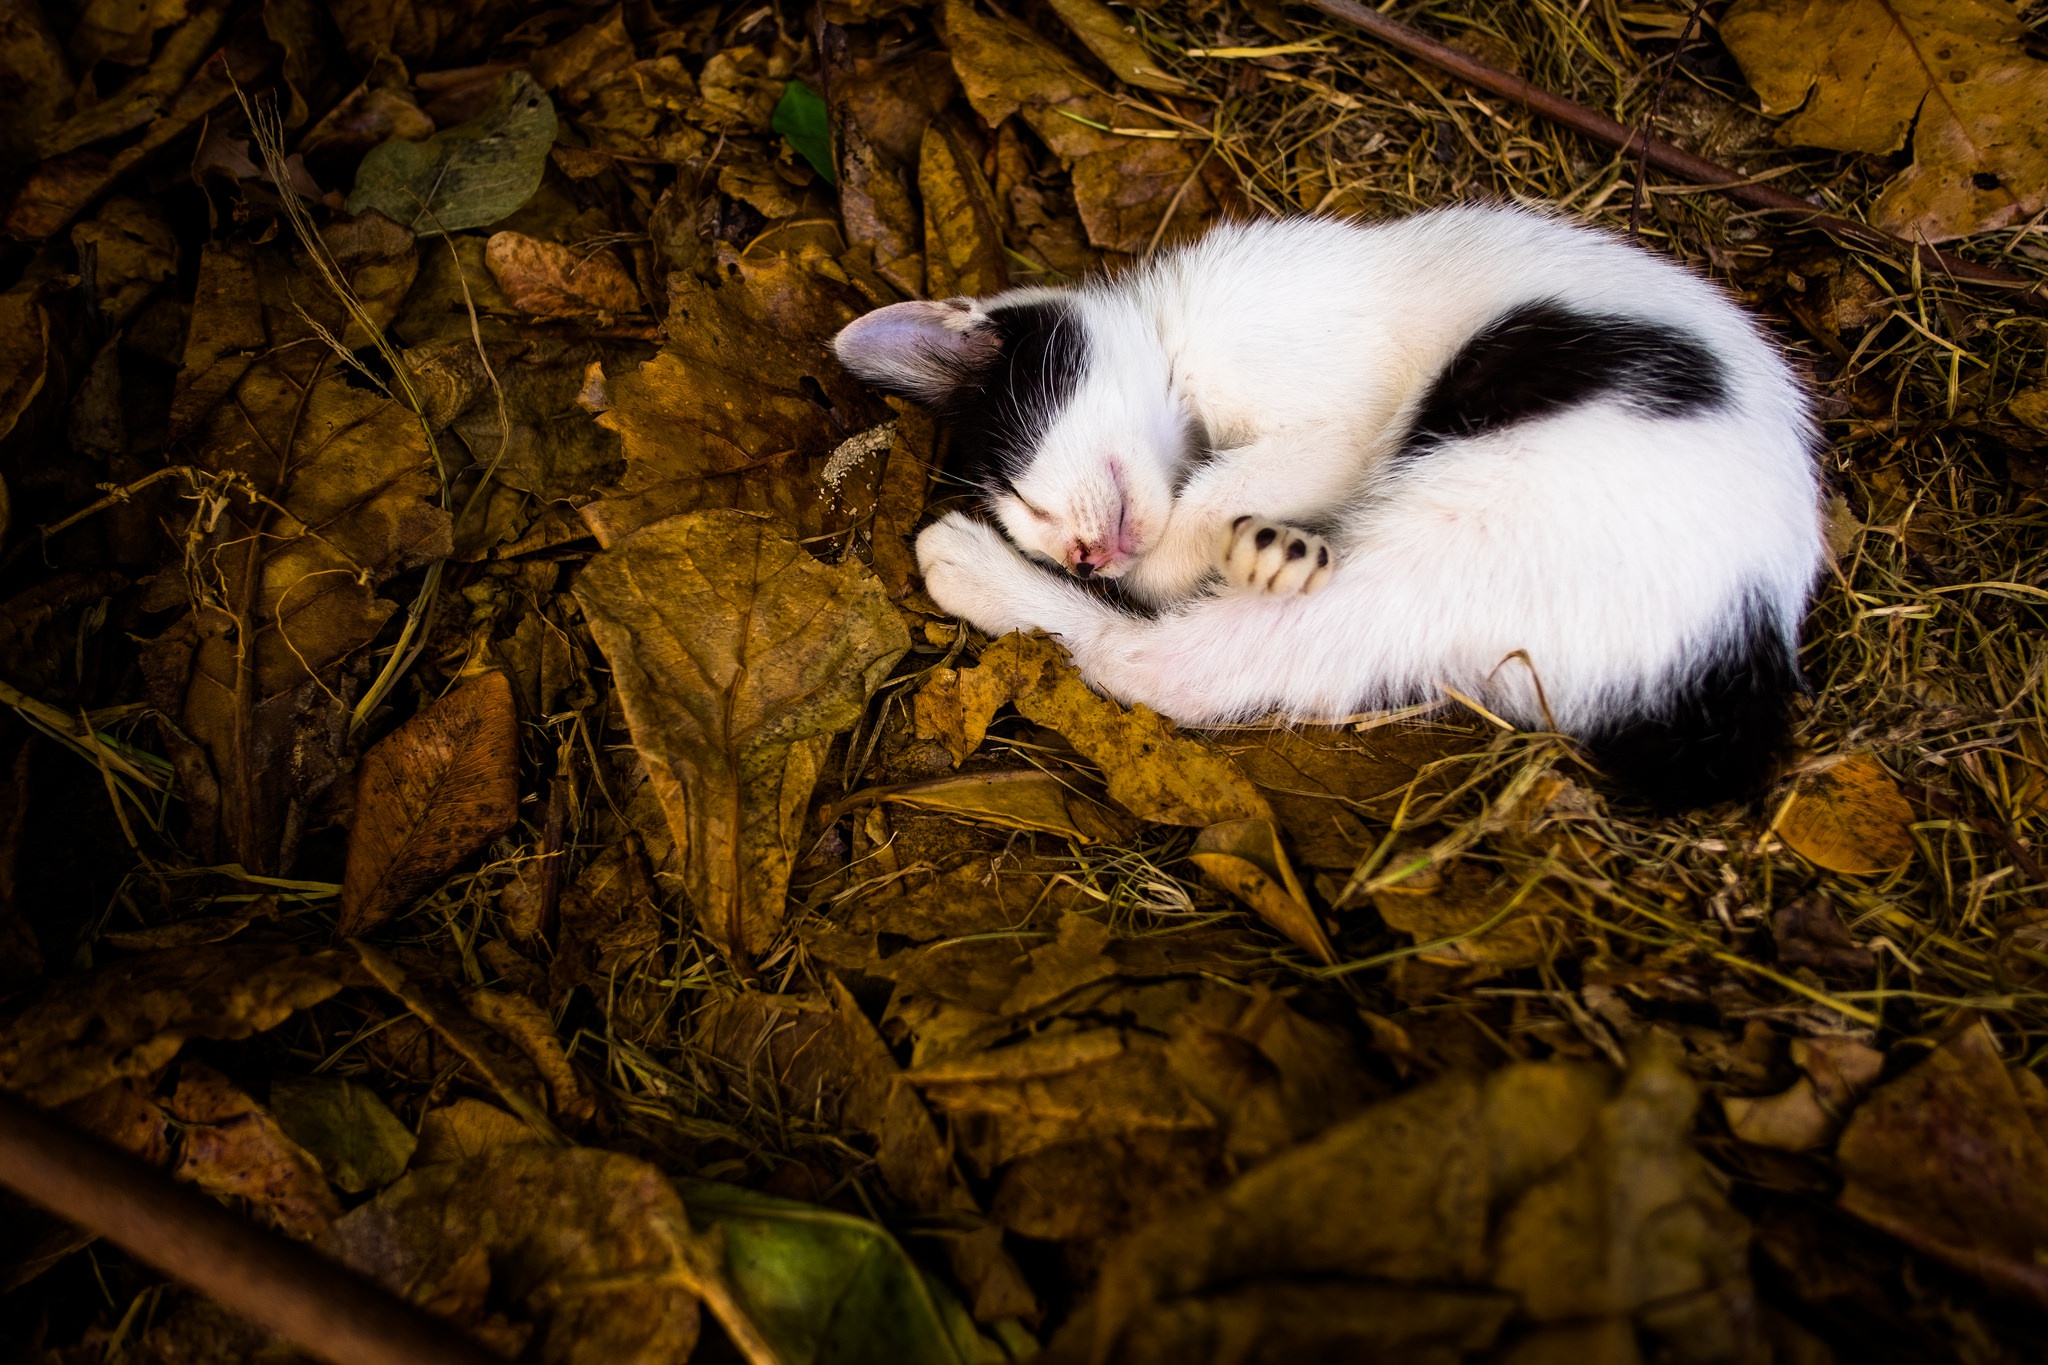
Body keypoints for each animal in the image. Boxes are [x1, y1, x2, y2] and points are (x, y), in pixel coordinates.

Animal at [831, 202, 1826, 810]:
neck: (1178, 347)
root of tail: (1745, 645)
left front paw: (1232, 546)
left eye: (1021, 490)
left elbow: (1192, 527)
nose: (1077, 555)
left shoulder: (1328, 407)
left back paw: (968, 565)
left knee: (1160, 665)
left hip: (1483, 512)